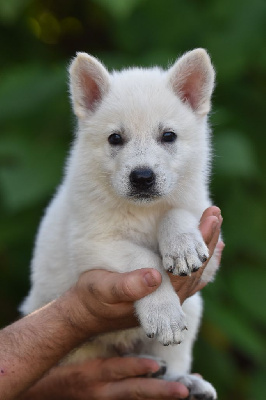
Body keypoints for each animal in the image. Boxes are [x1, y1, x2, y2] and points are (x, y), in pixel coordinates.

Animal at [21, 48, 219, 398]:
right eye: (115, 138)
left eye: (168, 136)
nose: (142, 177)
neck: (142, 210)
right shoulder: (91, 243)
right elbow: (144, 258)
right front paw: (163, 313)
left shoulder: (205, 226)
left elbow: (176, 212)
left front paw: (181, 246)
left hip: (194, 309)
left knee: (175, 360)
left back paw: (184, 380)